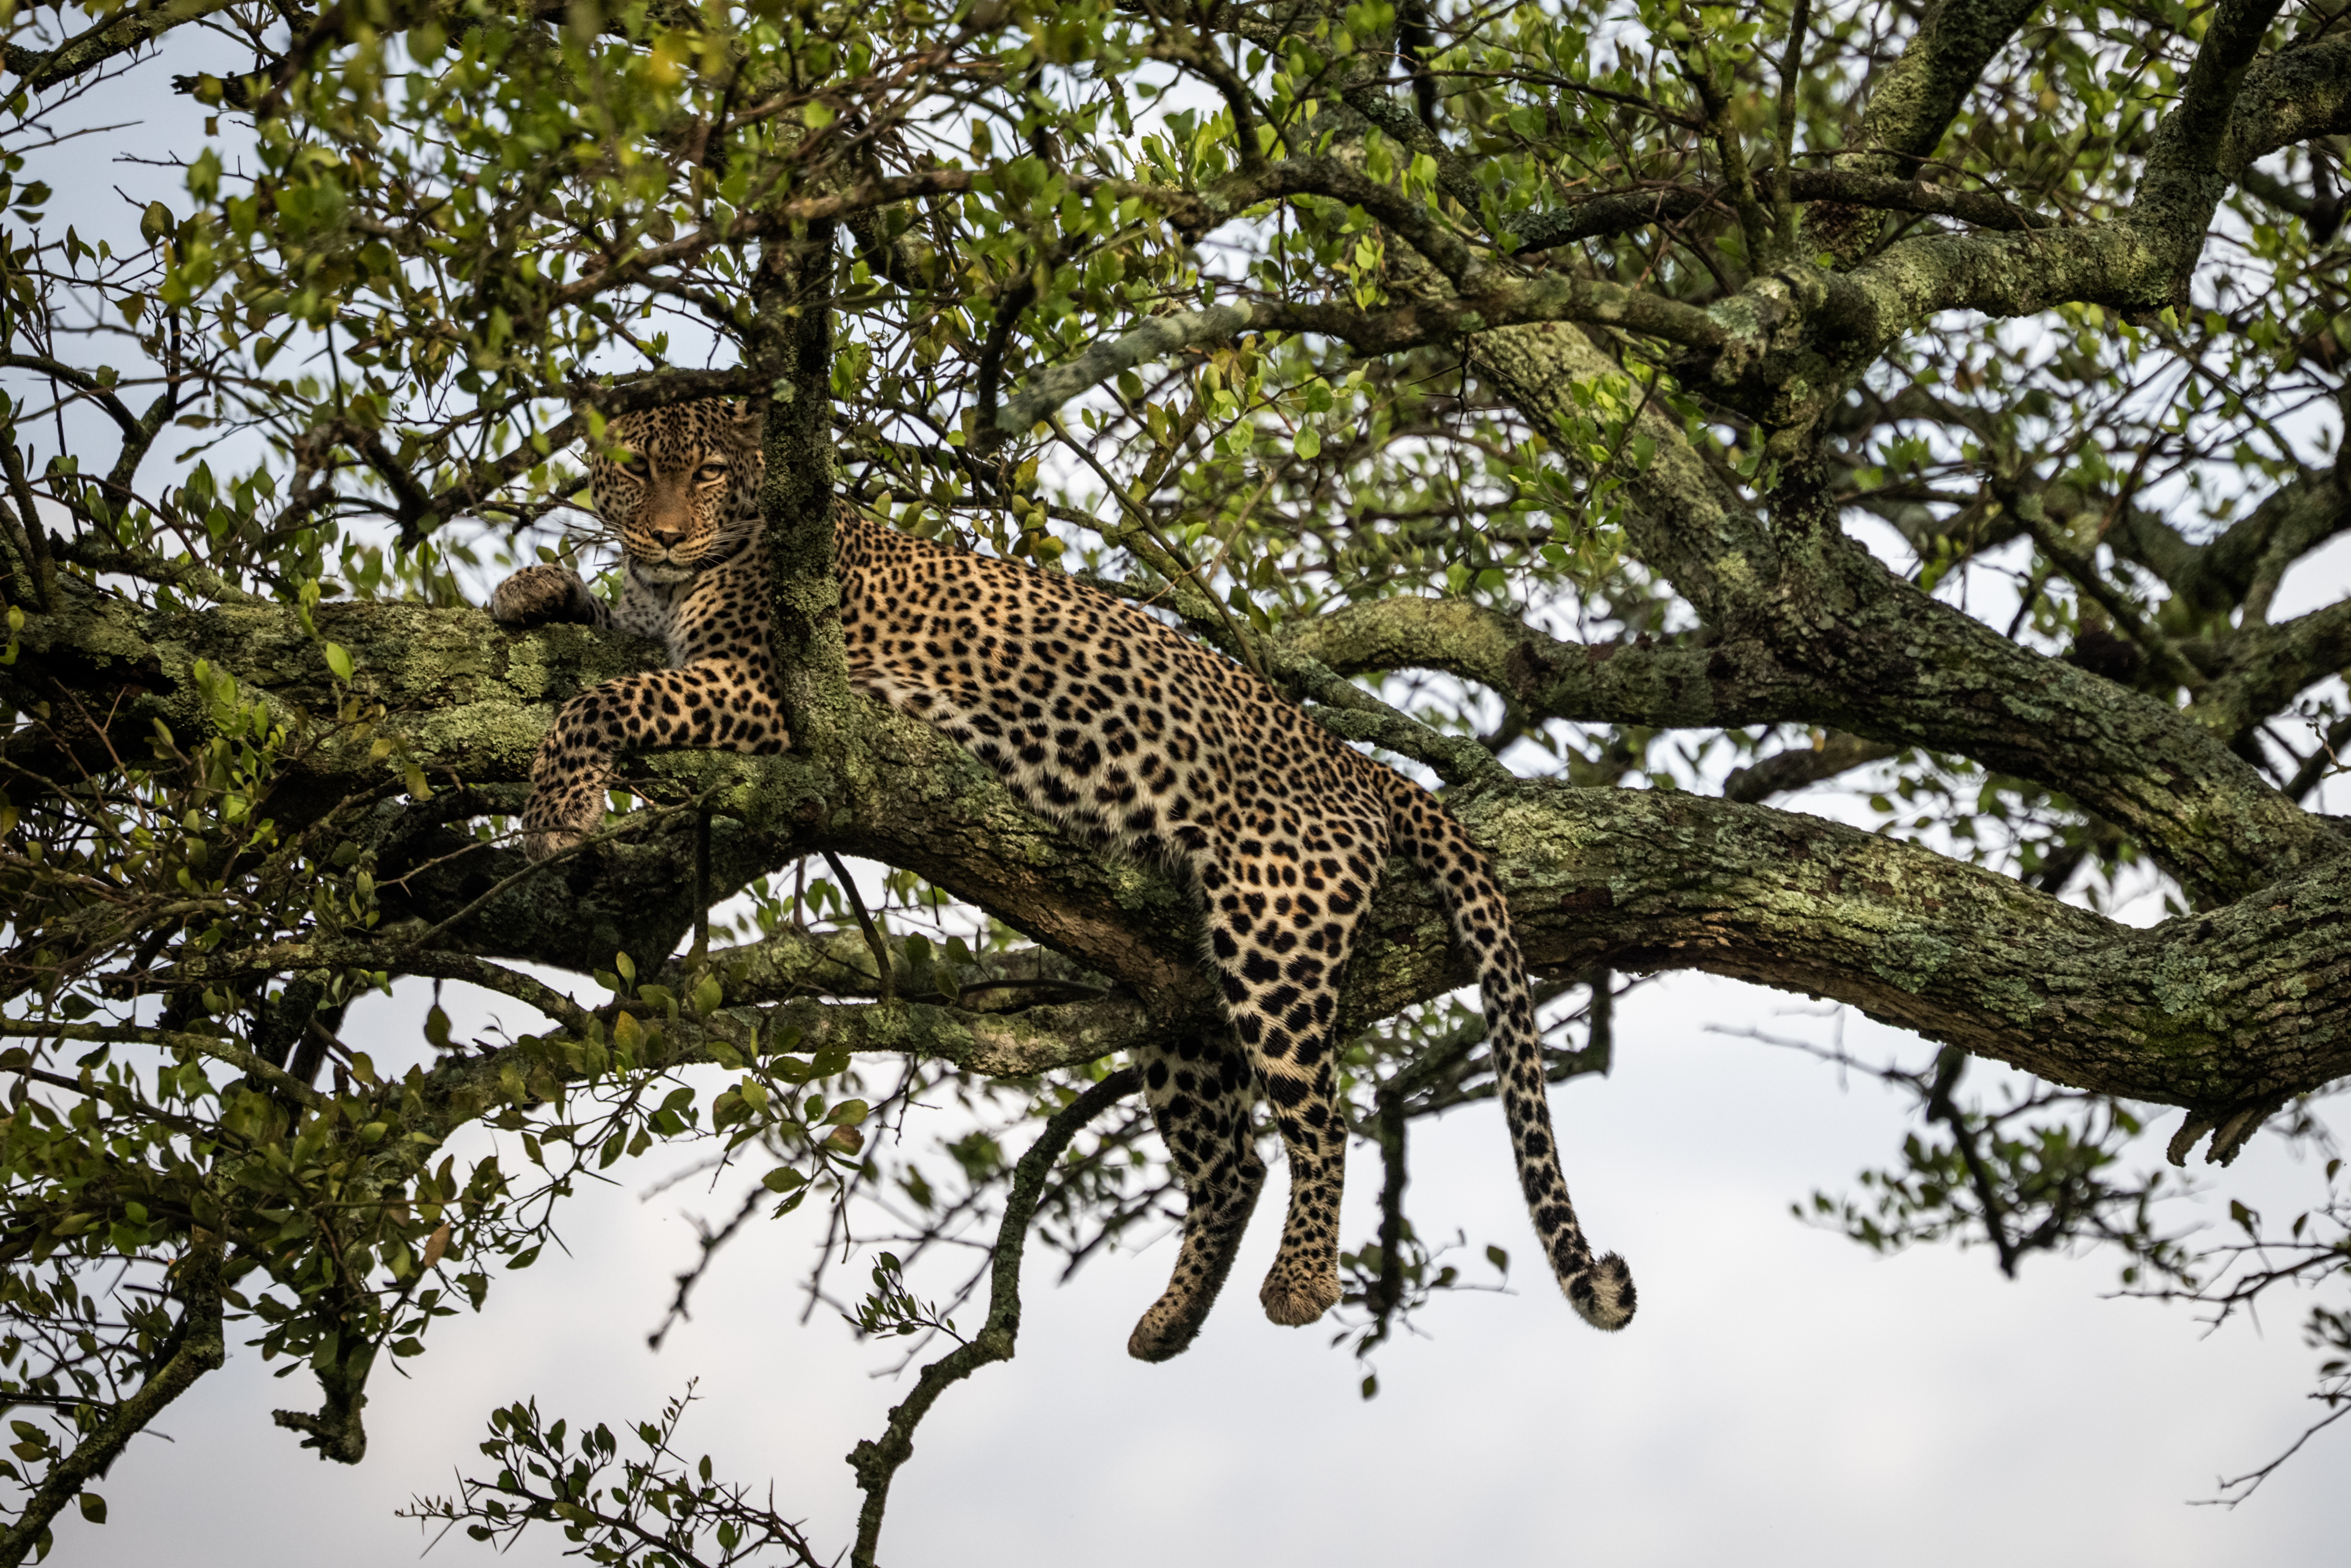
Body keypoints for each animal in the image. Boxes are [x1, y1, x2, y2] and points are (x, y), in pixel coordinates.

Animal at [489, 398, 1635, 1360]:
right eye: (636, 469)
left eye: (710, 471)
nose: (665, 535)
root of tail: (1351, 757)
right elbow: (610, 636)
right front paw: (534, 589)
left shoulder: (782, 689)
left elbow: (609, 699)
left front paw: (557, 810)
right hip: (1186, 987)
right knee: (1234, 1160)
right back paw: (1171, 1322)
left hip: (1274, 917)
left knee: (1321, 1116)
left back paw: (1303, 1280)